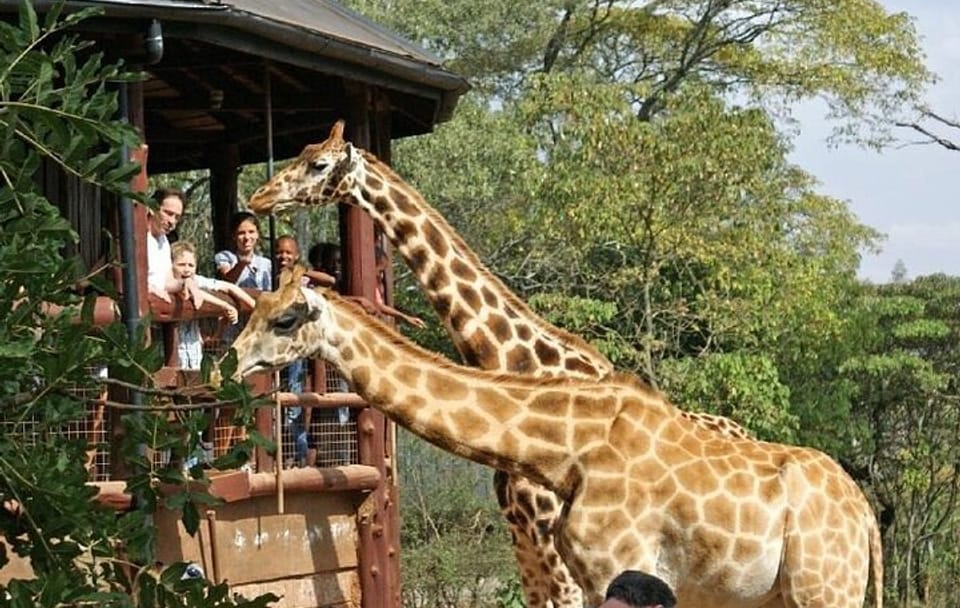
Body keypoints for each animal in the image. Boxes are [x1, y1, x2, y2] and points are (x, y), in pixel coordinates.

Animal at [225, 267, 884, 608]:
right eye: (253, 309)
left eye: (285, 318)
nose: (229, 363)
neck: (566, 448)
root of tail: (867, 519)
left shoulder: (620, 564)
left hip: (823, 588)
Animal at [247, 119, 753, 608]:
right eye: (301, 151)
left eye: (318, 164)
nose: (259, 196)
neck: (515, 359)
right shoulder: (521, 537)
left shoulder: (552, 540)